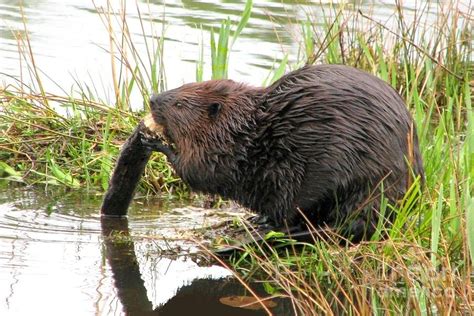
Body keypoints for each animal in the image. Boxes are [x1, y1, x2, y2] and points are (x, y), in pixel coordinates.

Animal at [102, 64, 424, 241]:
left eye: (180, 104)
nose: (153, 98)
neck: (244, 125)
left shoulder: (228, 150)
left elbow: (201, 170)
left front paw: (154, 140)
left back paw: (262, 224)